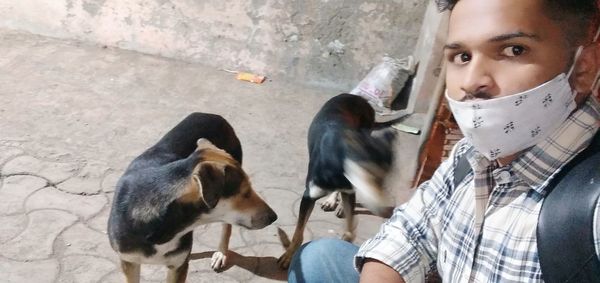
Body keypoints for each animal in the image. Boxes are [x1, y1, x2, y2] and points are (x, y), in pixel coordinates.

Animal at [108, 113, 276, 283]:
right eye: (245, 193)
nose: (274, 217)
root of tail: (214, 115)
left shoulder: (179, 265)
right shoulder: (129, 261)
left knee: (226, 227)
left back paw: (221, 253)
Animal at [278, 94, 398, 270]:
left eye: (386, 177)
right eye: (368, 174)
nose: (384, 211)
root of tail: (359, 98)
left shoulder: (350, 188)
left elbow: (350, 227)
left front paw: (347, 237)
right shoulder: (308, 196)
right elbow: (298, 233)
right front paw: (289, 255)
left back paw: (339, 205)